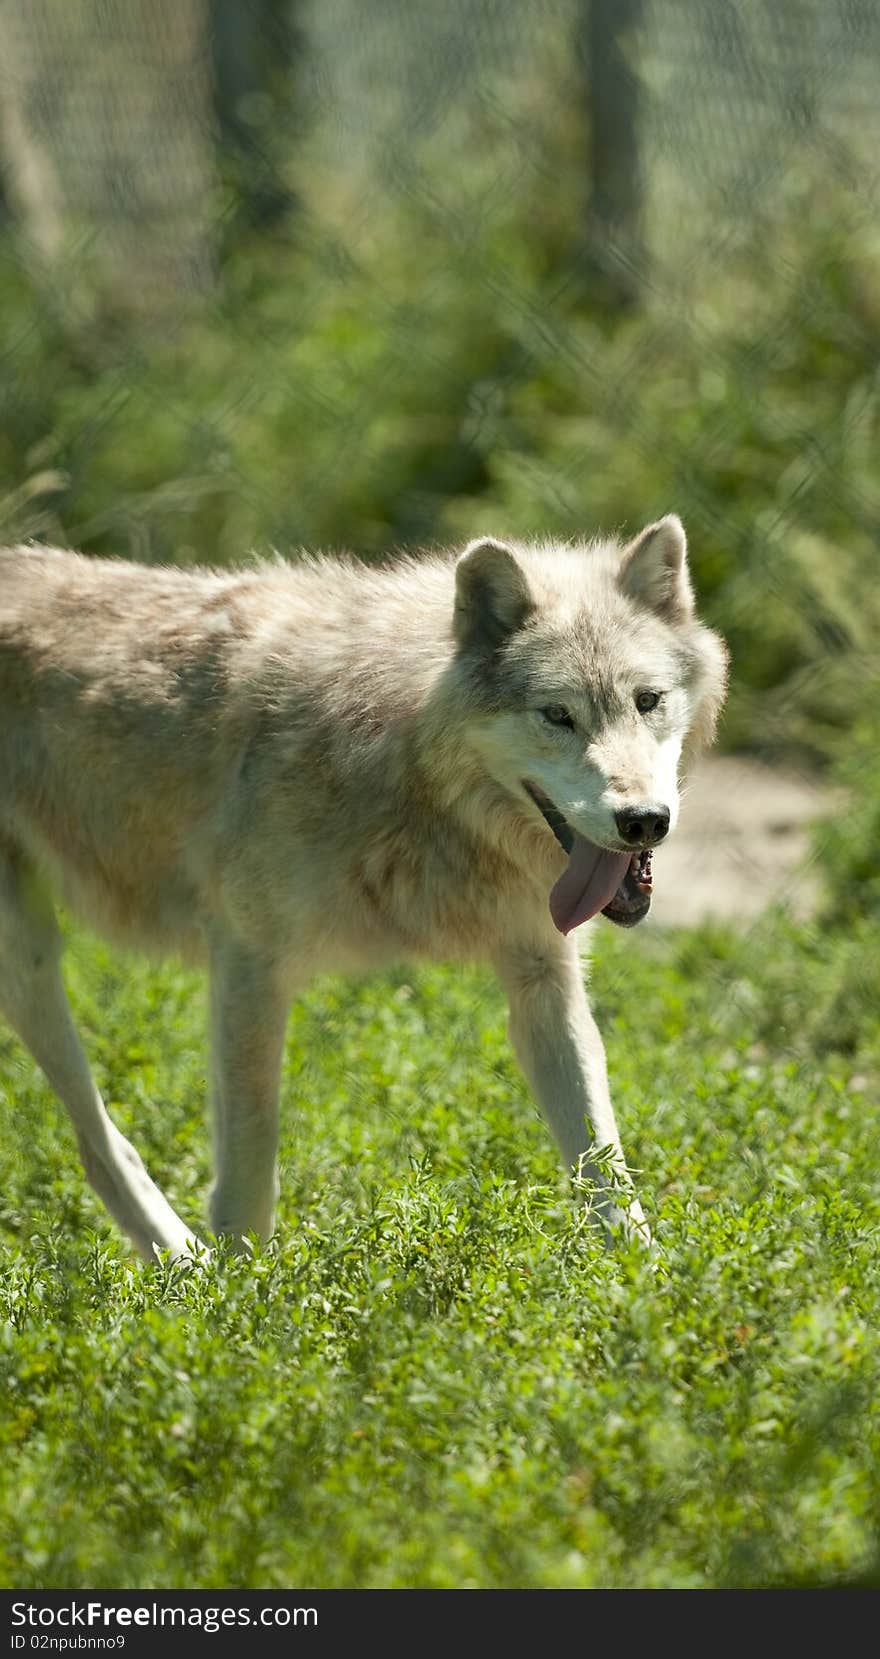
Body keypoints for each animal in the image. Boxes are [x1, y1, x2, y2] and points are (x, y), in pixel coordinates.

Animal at [0, 514, 727, 1254]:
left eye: (647, 701)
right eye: (557, 715)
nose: (644, 821)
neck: (398, 758)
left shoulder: (542, 973)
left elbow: (605, 1167)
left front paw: (640, 1277)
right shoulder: (248, 965)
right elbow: (250, 1173)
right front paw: (244, 1284)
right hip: (29, 961)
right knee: (97, 1140)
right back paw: (186, 1262)